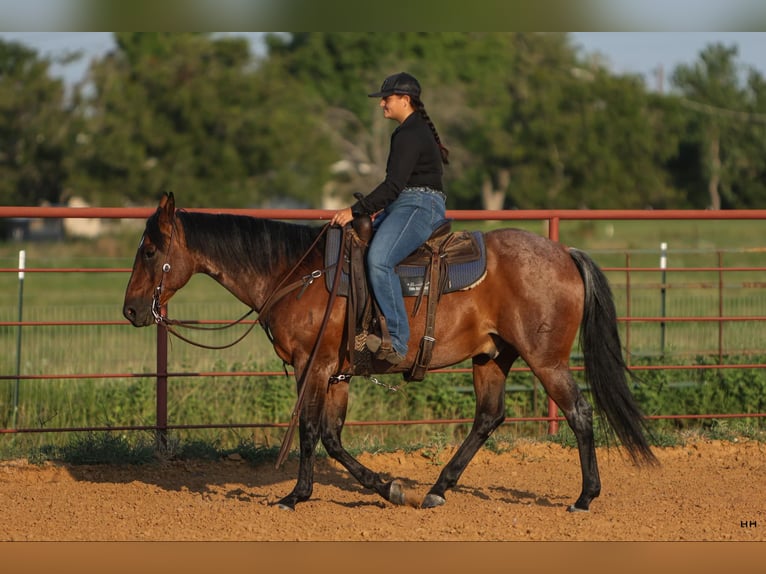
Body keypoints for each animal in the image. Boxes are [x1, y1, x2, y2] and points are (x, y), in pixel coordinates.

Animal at [123, 192, 657, 512]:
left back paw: (585, 497)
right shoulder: (337, 374)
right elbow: (333, 436)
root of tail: (565, 252)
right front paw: (387, 487)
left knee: (580, 413)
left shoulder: (313, 366)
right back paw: (437, 490)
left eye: (149, 250)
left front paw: (296, 495)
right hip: (492, 357)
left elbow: (310, 430)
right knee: (488, 417)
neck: (298, 273)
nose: (130, 309)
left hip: (546, 360)